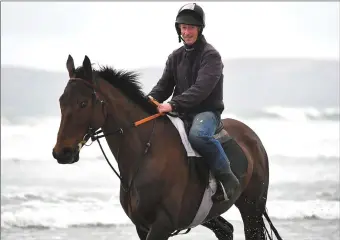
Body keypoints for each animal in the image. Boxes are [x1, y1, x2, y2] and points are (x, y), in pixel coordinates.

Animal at [51, 54, 282, 240]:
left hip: (252, 208)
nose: (61, 153)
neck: (146, 153)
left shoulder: (162, 225)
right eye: (61, 102)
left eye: (83, 103)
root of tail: (252, 137)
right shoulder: (142, 227)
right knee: (226, 230)